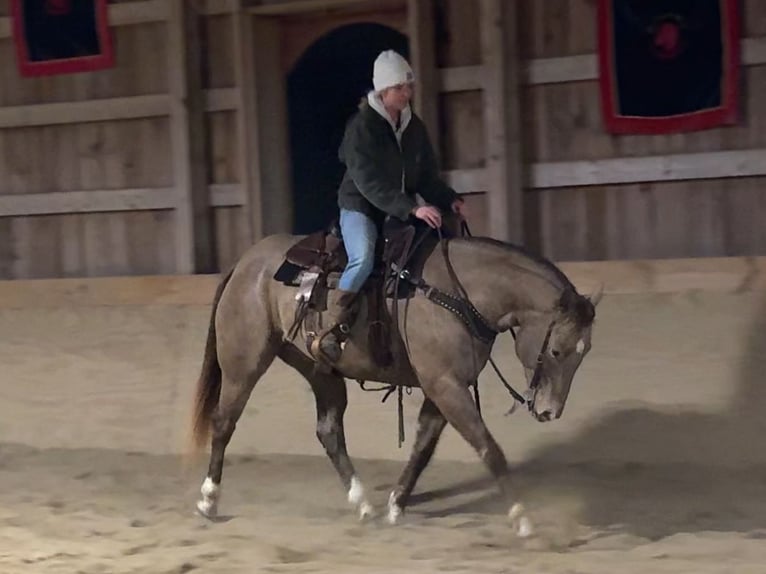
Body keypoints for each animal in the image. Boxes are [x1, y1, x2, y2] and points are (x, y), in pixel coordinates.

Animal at [188, 223, 601, 537]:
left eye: (585, 352)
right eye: (557, 351)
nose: (549, 411)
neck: (458, 293)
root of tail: (245, 263)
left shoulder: (444, 386)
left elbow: (422, 447)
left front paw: (396, 504)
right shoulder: (445, 385)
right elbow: (488, 448)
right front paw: (522, 517)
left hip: (319, 369)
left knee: (329, 431)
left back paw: (362, 504)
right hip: (244, 361)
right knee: (224, 422)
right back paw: (208, 499)